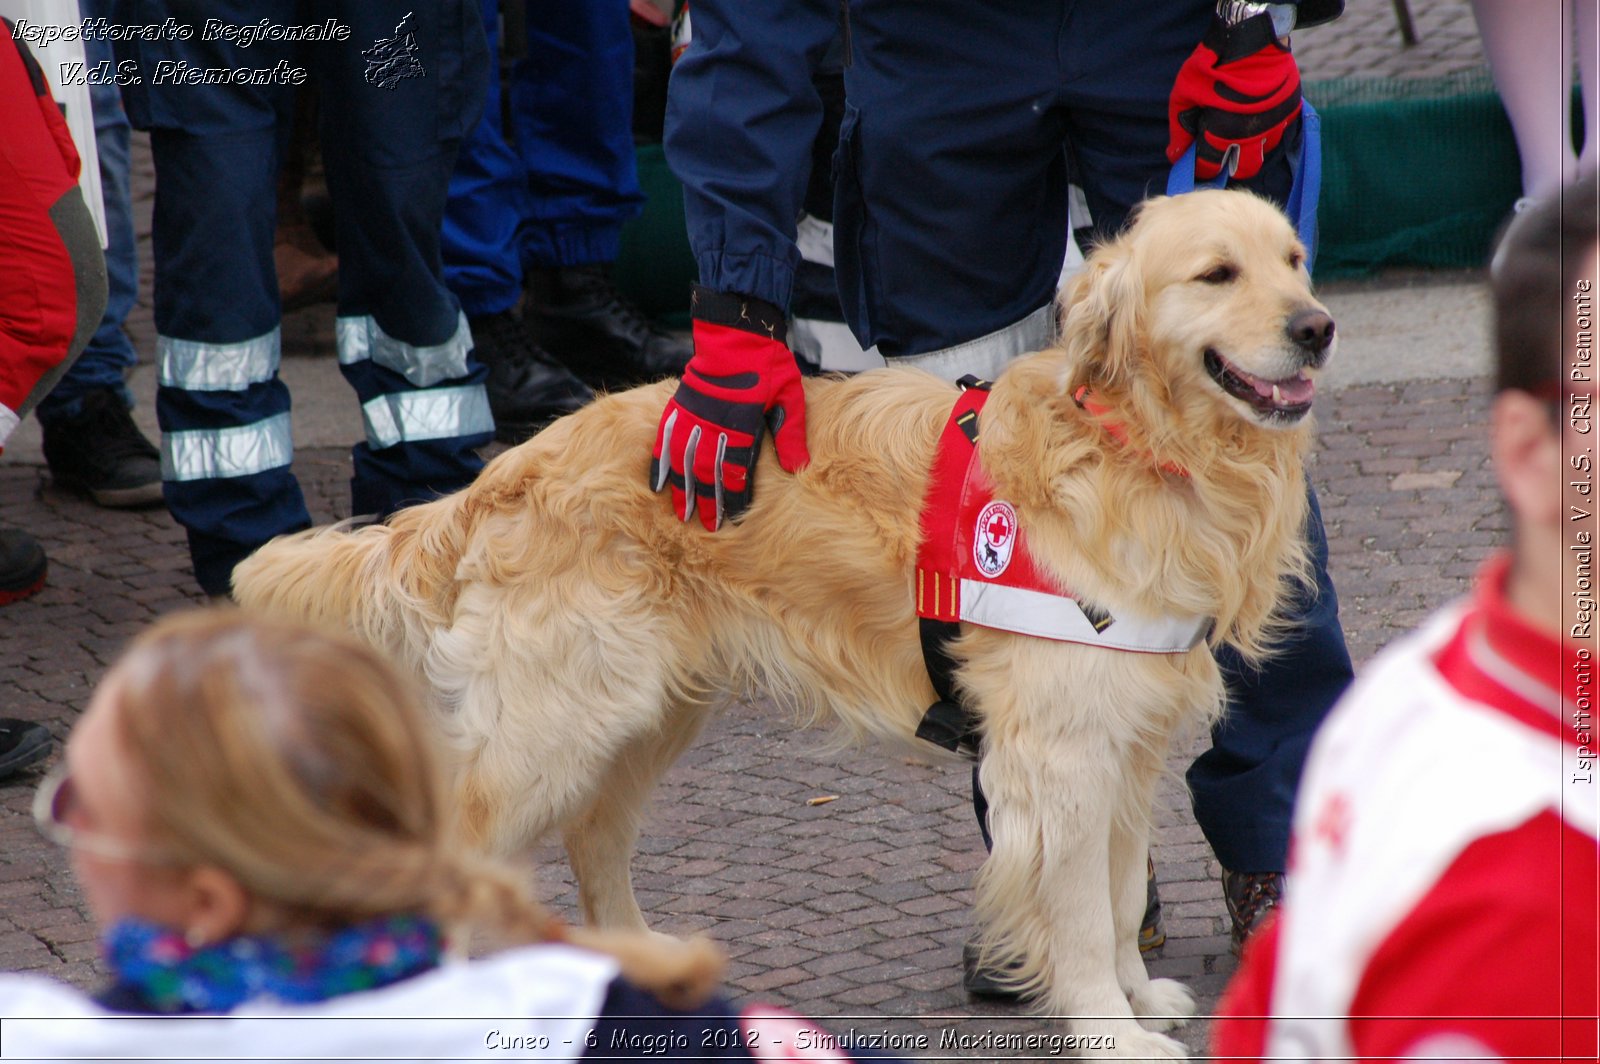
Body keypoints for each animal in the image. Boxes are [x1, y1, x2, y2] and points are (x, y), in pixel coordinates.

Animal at [233, 188, 1337, 1056]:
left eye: (1293, 259)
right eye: (1216, 273)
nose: (1319, 326)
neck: (1139, 449)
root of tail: (503, 470)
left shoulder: (1127, 741)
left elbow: (1114, 894)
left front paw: (1140, 997)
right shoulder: (1062, 752)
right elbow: (1074, 910)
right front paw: (1114, 1033)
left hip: (641, 711)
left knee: (594, 834)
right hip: (555, 723)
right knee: (463, 857)